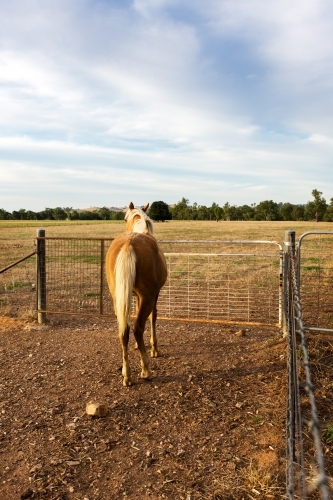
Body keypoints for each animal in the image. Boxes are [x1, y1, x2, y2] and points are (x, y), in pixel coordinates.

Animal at [105, 203, 167, 386]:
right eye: (125, 219)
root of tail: (129, 243)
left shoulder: (136, 297)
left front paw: (137, 346)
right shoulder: (154, 295)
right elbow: (153, 317)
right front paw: (154, 349)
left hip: (117, 299)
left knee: (124, 330)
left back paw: (127, 375)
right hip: (148, 298)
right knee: (137, 327)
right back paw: (145, 369)